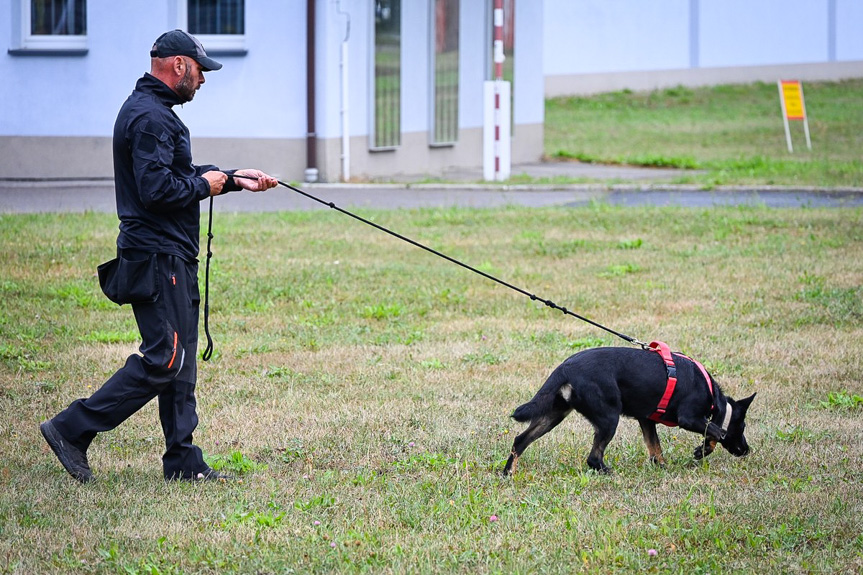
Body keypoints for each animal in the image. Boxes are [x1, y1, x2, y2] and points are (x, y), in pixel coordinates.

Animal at [502, 344, 752, 474]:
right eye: (742, 427)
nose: (746, 451)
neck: (714, 397)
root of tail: (565, 368)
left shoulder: (646, 419)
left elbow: (655, 448)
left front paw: (662, 467)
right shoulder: (688, 418)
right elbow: (717, 431)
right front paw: (702, 450)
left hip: (555, 413)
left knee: (520, 439)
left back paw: (508, 473)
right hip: (608, 418)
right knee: (593, 458)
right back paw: (608, 472)